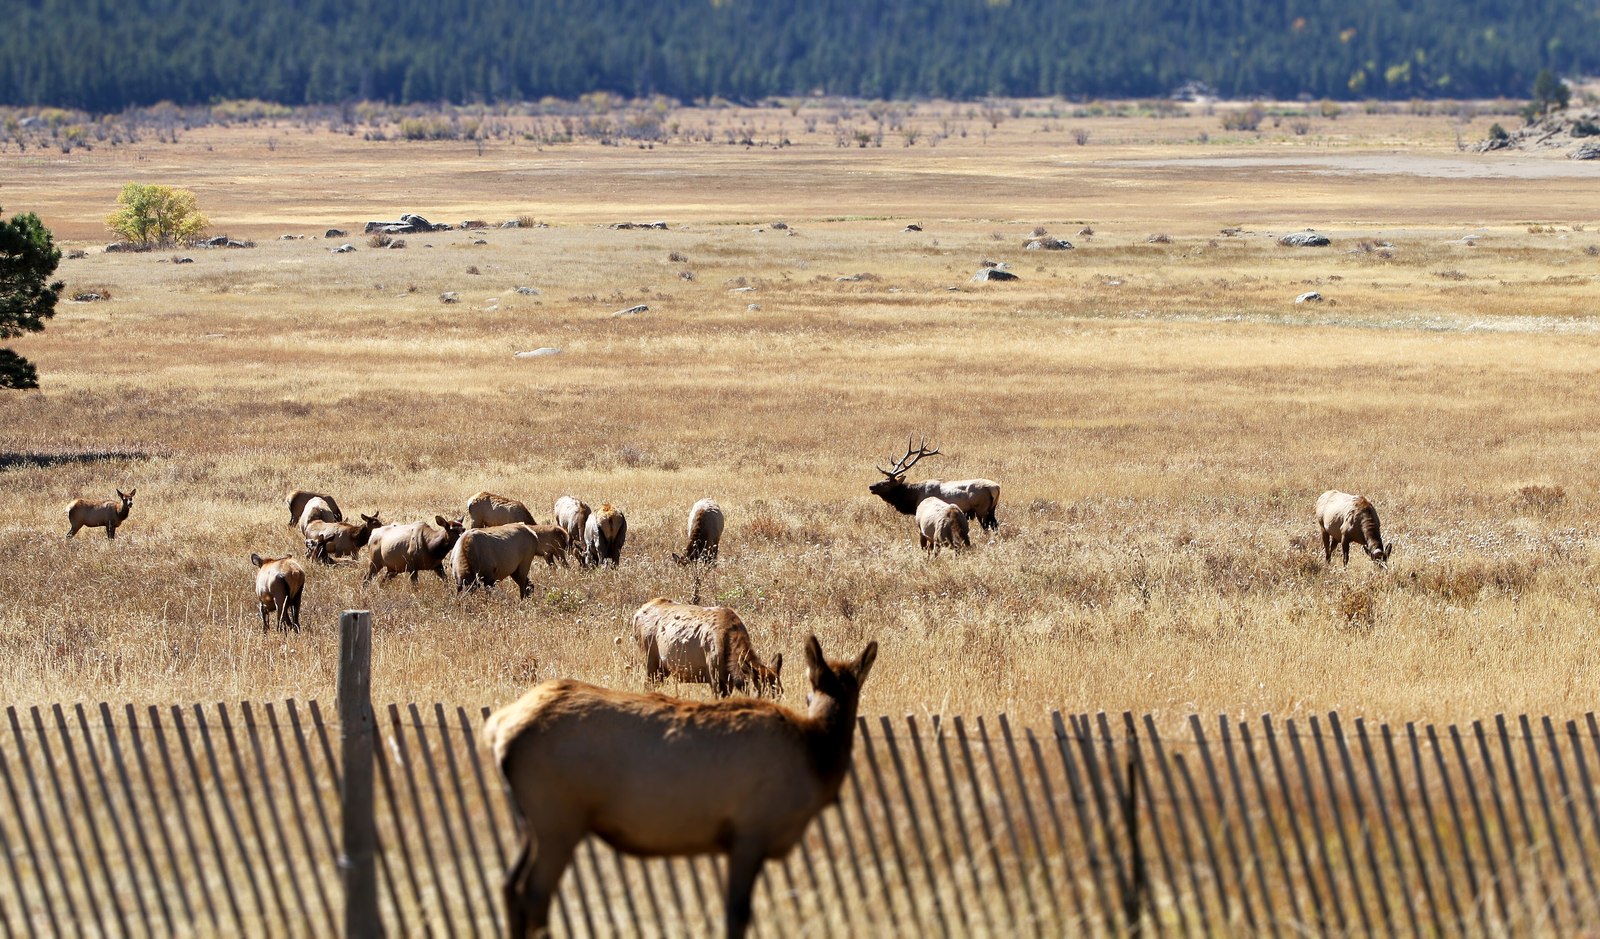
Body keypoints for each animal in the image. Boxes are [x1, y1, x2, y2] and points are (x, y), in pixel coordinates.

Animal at [485, 634, 877, 939]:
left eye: (849, 695)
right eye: (809, 698)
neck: (814, 757)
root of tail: (499, 729)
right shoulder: (751, 831)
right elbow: (736, 915)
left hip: (531, 823)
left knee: (509, 886)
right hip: (557, 818)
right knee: (534, 893)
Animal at [869, 436, 1000, 530]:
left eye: (885, 484)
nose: (871, 486)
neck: (913, 497)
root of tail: (996, 488)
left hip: (981, 509)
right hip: (991, 510)